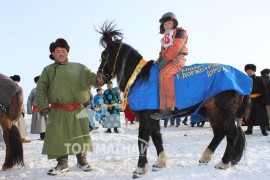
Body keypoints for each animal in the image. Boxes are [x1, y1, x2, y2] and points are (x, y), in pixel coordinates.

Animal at [95, 22, 251, 179]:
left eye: (104, 55)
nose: (98, 79)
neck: (139, 77)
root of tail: (243, 79)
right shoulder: (152, 117)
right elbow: (156, 137)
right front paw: (161, 162)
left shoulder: (145, 116)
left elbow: (142, 139)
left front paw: (140, 168)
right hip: (212, 111)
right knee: (219, 133)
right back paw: (206, 157)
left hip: (225, 112)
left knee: (232, 134)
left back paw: (224, 163)